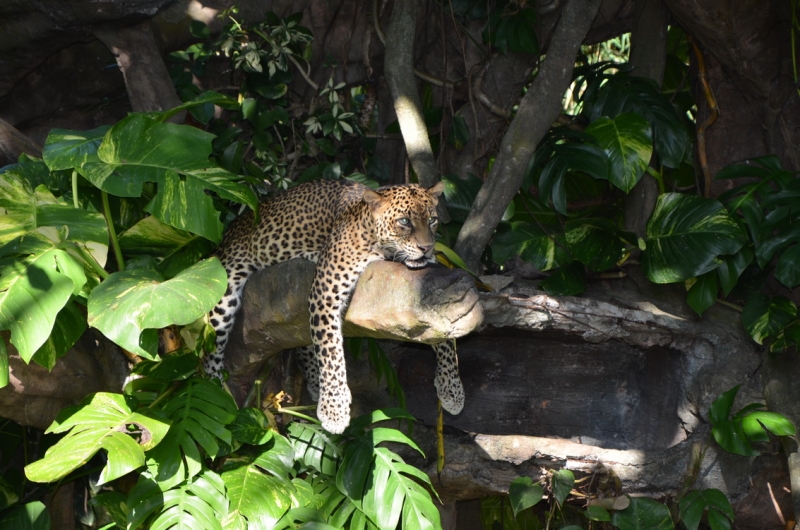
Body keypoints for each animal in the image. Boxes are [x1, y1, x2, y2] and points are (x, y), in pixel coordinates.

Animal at [206, 177, 466, 434]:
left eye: (432, 220)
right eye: (404, 221)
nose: (427, 248)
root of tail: (233, 226)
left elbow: (446, 336)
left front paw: (451, 388)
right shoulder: (325, 295)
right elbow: (331, 353)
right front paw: (335, 410)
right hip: (221, 289)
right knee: (210, 349)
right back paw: (213, 388)